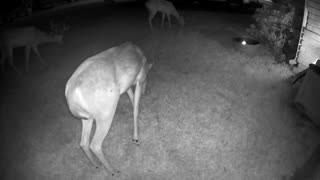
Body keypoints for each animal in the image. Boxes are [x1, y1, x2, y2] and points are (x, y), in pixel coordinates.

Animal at [65, 41, 152, 176]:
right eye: (146, 79)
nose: (144, 92)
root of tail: (71, 95)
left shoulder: (127, 85)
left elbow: (132, 98)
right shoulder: (139, 77)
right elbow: (136, 109)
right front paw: (136, 138)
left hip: (87, 118)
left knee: (83, 143)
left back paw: (96, 165)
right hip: (106, 113)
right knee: (95, 144)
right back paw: (113, 171)